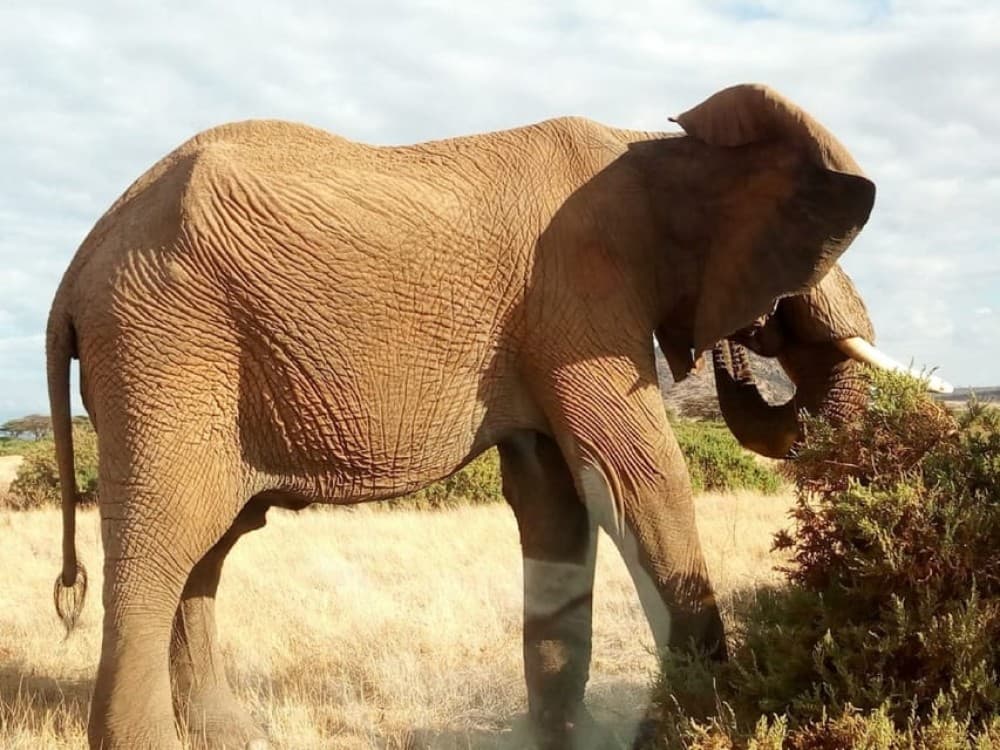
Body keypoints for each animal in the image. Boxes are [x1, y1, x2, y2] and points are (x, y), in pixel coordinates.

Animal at [46, 83, 879, 749]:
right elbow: (636, 480)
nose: (743, 346)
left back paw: (232, 738)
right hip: (165, 348)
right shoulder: (579, 293)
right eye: (819, 255)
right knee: (162, 544)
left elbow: (556, 507)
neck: (652, 141)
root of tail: (75, 270)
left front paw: (562, 737)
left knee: (207, 551)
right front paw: (702, 726)